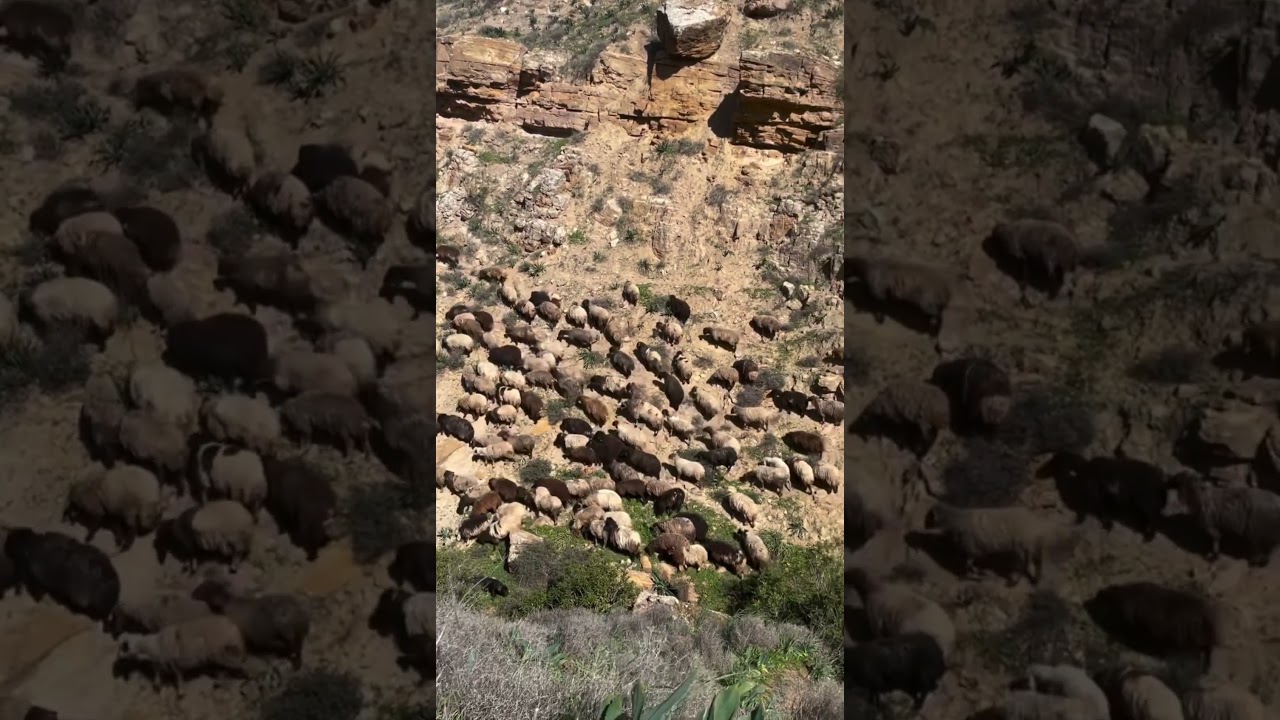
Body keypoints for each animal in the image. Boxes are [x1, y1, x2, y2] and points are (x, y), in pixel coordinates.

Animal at [116, 615, 247, 694]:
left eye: (123, 647)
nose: (118, 658)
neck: (154, 644)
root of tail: (234, 628)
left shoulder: (174, 665)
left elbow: (178, 679)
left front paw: (180, 693)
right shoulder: (161, 663)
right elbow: (158, 673)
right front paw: (158, 685)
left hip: (225, 655)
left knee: (239, 665)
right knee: (224, 670)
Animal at [923, 503, 1068, 585]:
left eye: (928, 519)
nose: (923, 527)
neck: (956, 520)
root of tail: (1036, 523)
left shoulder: (971, 549)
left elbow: (968, 565)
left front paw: (975, 576)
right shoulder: (973, 551)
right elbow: (970, 564)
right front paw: (978, 573)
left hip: (1022, 545)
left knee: (1025, 564)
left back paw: (1015, 581)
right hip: (1028, 545)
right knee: (1034, 561)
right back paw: (1035, 579)